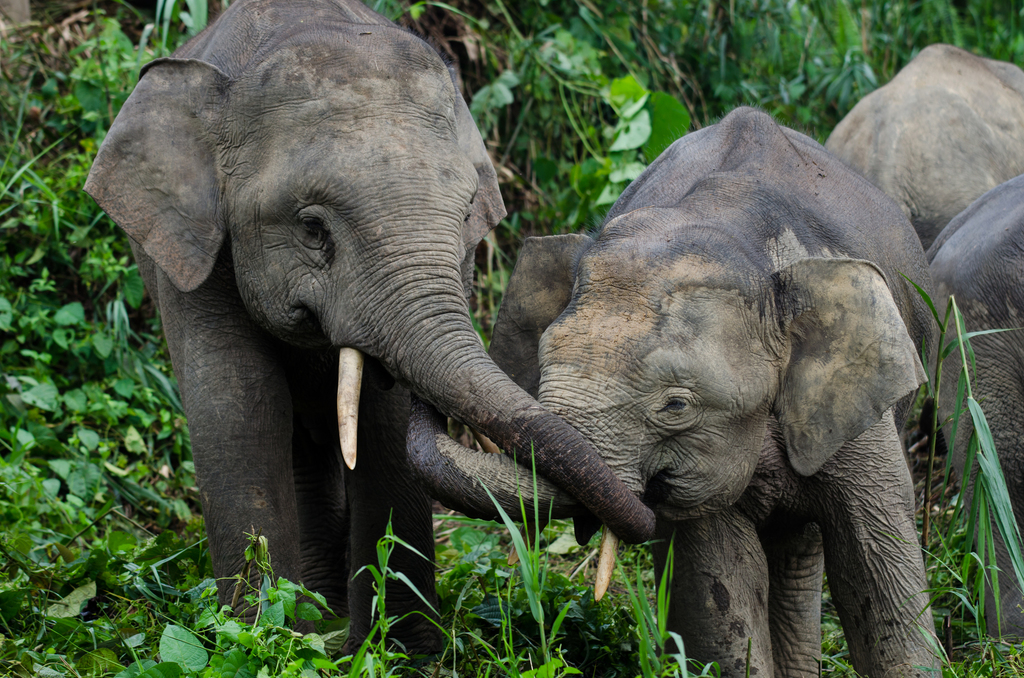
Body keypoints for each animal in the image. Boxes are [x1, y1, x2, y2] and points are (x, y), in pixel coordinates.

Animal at [83, 0, 651, 655]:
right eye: (311, 228)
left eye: (467, 218)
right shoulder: (193, 257)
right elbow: (241, 404)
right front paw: (258, 644)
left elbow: (383, 421)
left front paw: (401, 652)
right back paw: (314, 618)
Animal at [407, 109, 942, 675]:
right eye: (541, 371)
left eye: (676, 405)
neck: (732, 228)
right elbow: (721, 585)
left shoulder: (853, 408)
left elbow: (876, 569)